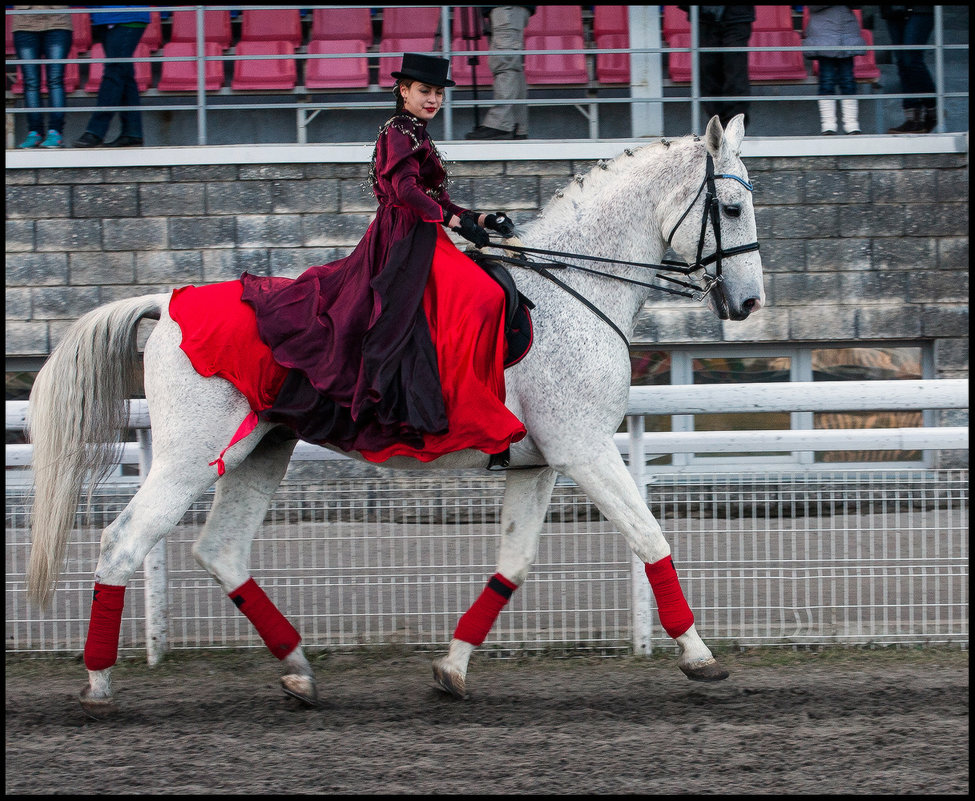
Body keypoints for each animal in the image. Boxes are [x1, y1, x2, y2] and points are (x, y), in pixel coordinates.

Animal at [26, 114, 764, 712]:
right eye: (730, 207)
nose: (750, 303)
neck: (573, 289)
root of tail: (169, 302)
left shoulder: (539, 463)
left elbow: (514, 563)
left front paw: (452, 668)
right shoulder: (584, 449)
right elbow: (650, 537)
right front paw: (700, 657)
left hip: (260, 450)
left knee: (221, 549)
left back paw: (298, 670)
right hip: (190, 458)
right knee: (123, 542)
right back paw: (98, 684)